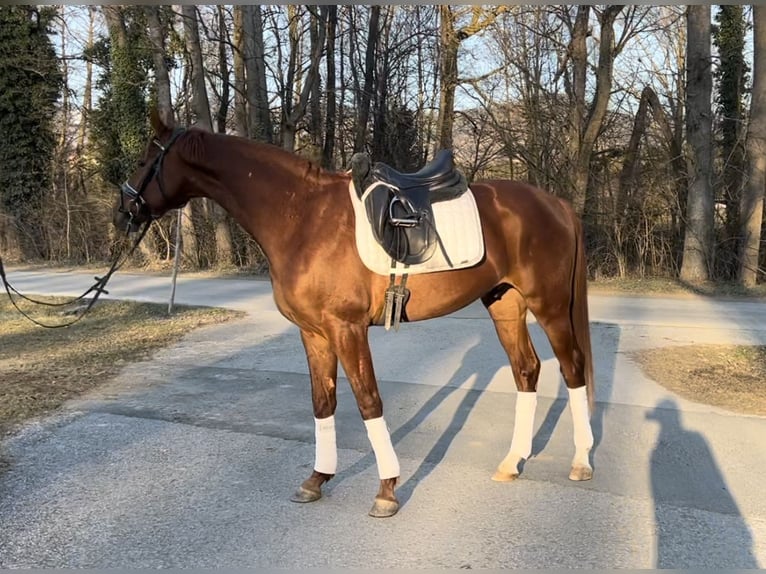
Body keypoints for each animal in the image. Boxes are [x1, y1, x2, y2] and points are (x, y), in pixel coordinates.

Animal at [114, 110, 595, 518]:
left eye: (144, 159)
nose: (123, 212)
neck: (302, 218)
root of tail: (557, 205)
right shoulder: (313, 333)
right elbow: (323, 401)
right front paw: (316, 480)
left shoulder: (346, 329)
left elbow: (368, 401)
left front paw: (387, 490)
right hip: (505, 304)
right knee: (527, 370)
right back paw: (512, 462)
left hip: (550, 306)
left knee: (572, 369)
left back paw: (580, 461)